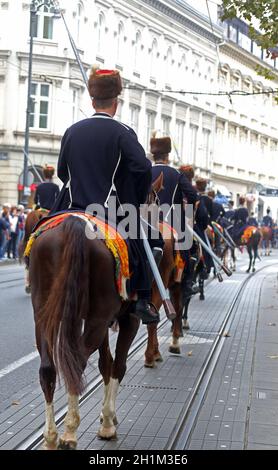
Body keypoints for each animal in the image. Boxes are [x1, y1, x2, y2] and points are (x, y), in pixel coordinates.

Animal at [28, 175, 163, 448]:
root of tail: (75, 225)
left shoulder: (101, 321)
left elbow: (105, 364)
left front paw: (105, 417)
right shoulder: (127, 319)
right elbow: (118, 365)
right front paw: (108, 422)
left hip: (45, 317)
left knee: (49, 368)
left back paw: (51, 436)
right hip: (98, 320)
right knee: (77, 363)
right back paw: (69, 432)